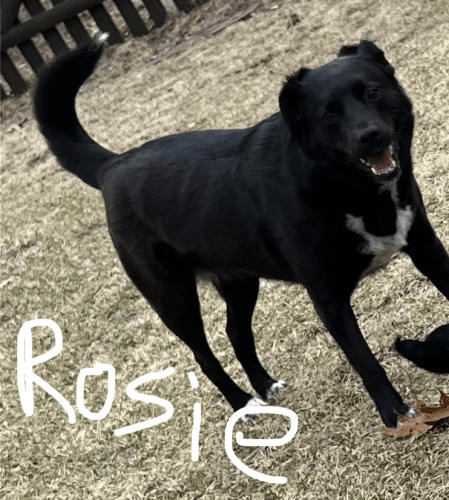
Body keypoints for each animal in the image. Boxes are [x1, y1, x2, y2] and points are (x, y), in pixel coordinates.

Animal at [33, 36, 449, 428]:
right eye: (328, 114)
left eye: (373, 93)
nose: (370, 135)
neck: (349, 188)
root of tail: (113, 165)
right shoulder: (328, 298)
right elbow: (365, 361)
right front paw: (394, 414)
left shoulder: (427, 250)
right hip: (174, 300)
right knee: (204, 356)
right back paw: (243, 403)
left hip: (239, 281)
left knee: (236, 332)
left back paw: (264, 385)